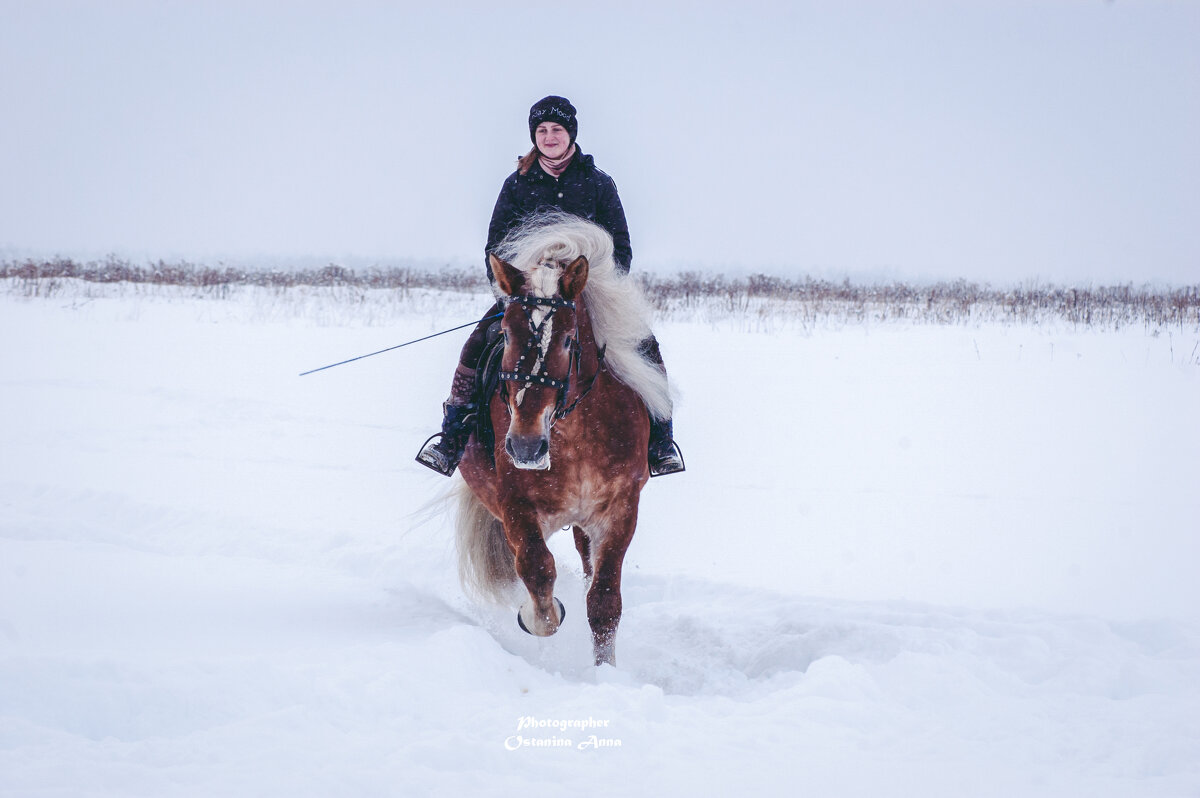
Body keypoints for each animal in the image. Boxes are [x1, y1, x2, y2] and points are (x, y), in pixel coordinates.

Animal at [451, 213, 676, 667]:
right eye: (505, 334)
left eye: (570, 339)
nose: (525, 447)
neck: (574, 435)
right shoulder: (516, 506)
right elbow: (538, 573)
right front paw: (536, 617)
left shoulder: (620, 509)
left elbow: (604, 602)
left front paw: (604, 671)